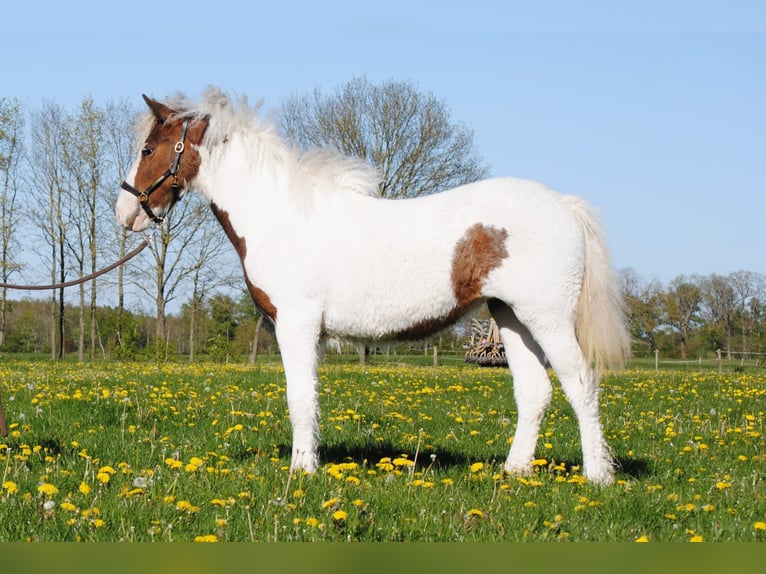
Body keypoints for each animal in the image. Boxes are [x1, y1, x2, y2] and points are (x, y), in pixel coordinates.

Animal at [115, 87, 630, 485]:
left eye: (147, 150)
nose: (126, 212)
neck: (280, 214)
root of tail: (564, 206)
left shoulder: (297, 325)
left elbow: (300, 399)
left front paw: (302, 472)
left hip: (548, 319)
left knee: (581, 384)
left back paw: (598, 476)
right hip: (511, 318)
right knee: (535, 393)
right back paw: (514, 471)